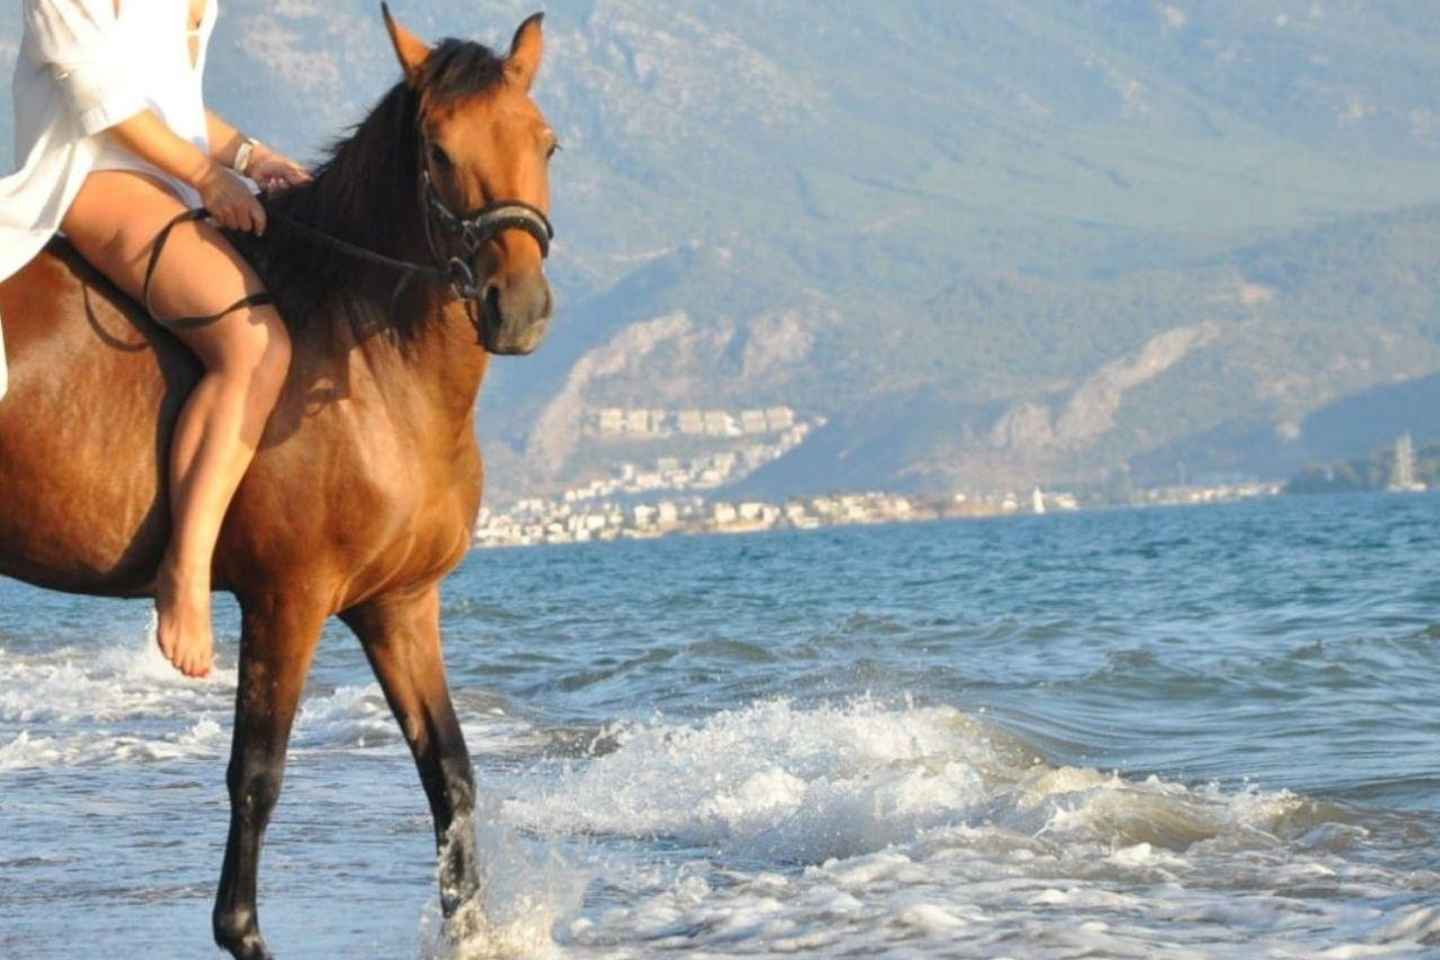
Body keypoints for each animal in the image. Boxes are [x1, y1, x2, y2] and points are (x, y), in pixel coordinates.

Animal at [0, 9, 557, 959]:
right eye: (438, 151)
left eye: (547, 143)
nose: (515, 306)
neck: (367, 354)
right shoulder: (286, 601)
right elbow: (257, 774)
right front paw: (241, 932)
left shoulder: (399, 603)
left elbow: (449, 773)